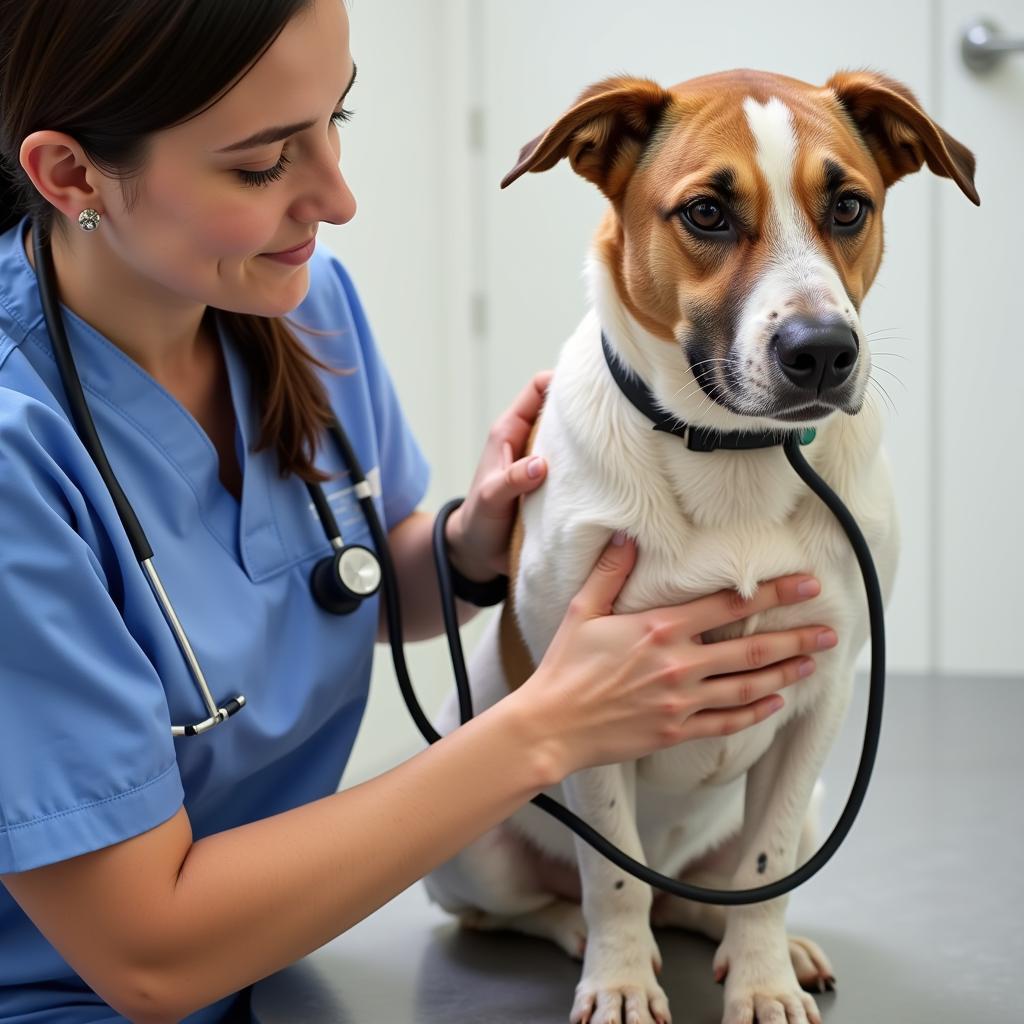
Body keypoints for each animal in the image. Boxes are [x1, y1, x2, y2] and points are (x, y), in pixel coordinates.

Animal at [421, 66, 974, 1024]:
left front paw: (763, 979)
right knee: (541, 904)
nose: (823, 351)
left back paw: (758, 940)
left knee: (699, 891)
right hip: (474, 840)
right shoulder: (589, 698)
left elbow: (767, 867)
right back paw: (575, 935)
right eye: (708, 213)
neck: (733, 456)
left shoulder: (823, 694)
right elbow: (611, 879)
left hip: (816, 799)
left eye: (850, 207)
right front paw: (618, 979)